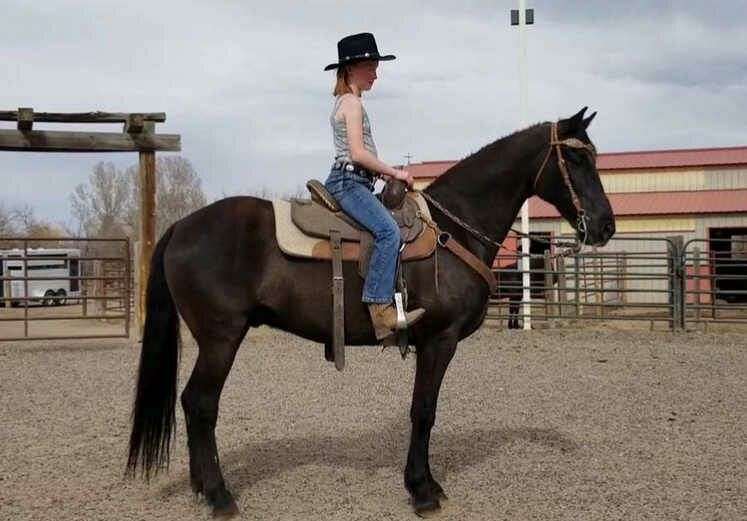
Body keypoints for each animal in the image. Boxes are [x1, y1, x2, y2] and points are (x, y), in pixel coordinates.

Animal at [126, 107, 615, 517]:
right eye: (577, 160)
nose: (606, 226)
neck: (454, 229)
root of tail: (183, 225)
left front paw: (428, 484)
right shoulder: (439, 341)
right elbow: (424, 411)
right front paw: (421, 490)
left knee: (193, 404)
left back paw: (200, 487)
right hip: (221, 338)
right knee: (201, 403)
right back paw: (219, 495)